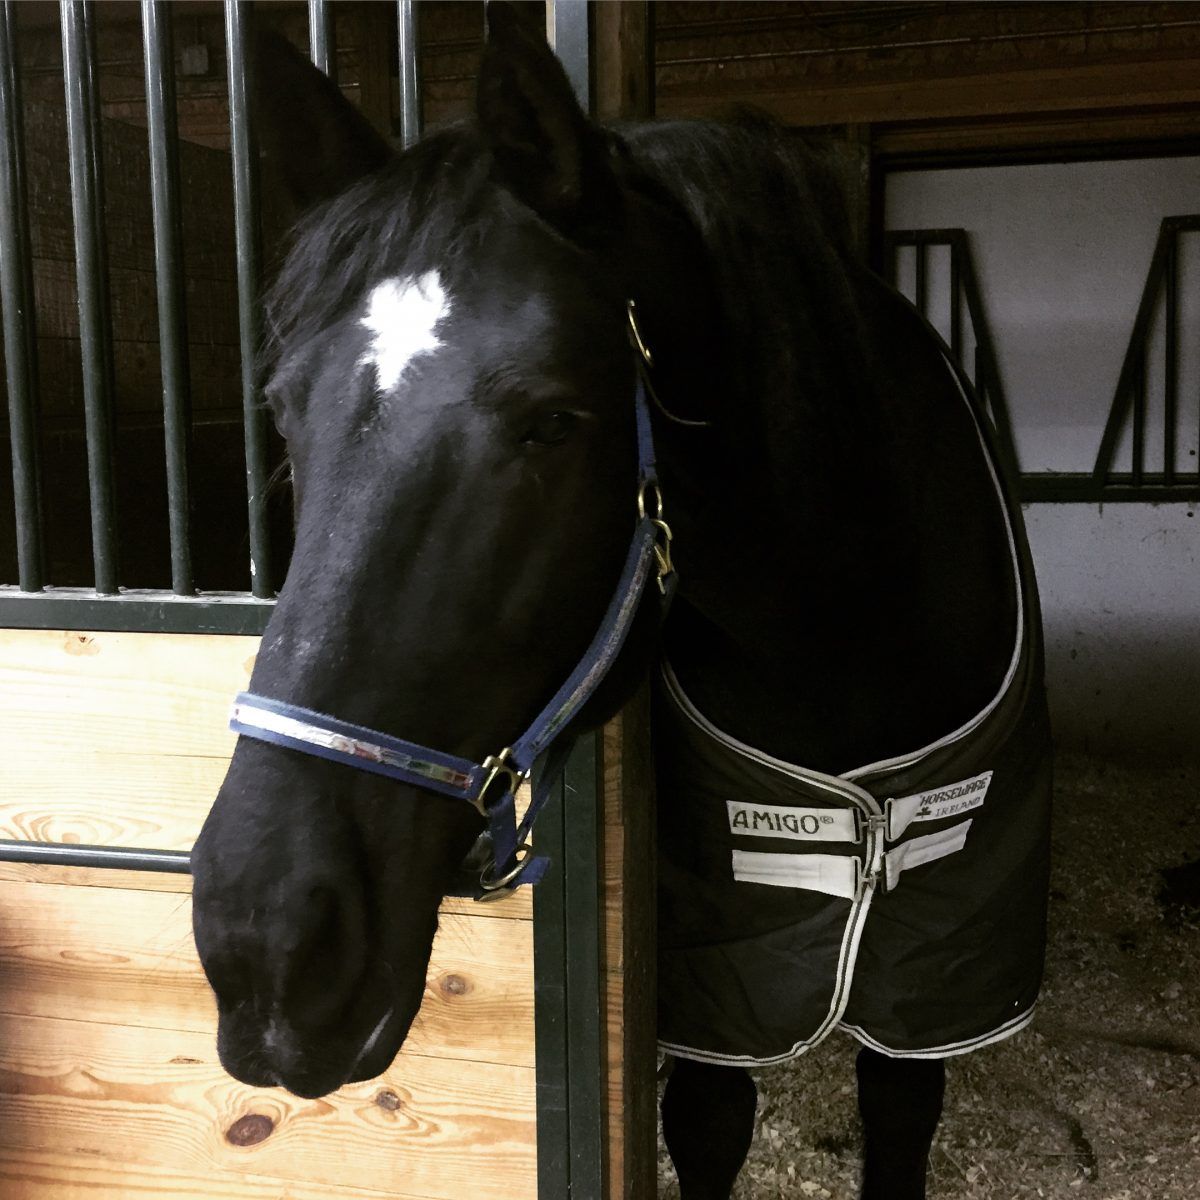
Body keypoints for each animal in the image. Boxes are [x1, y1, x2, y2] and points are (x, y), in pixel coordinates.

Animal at [191, 7, 1052, 1198]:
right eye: (282, 410)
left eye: (553, 420)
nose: (267, 945)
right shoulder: (718, 978)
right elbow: (709, 1128)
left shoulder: (938, 966)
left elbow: (898, 1116)